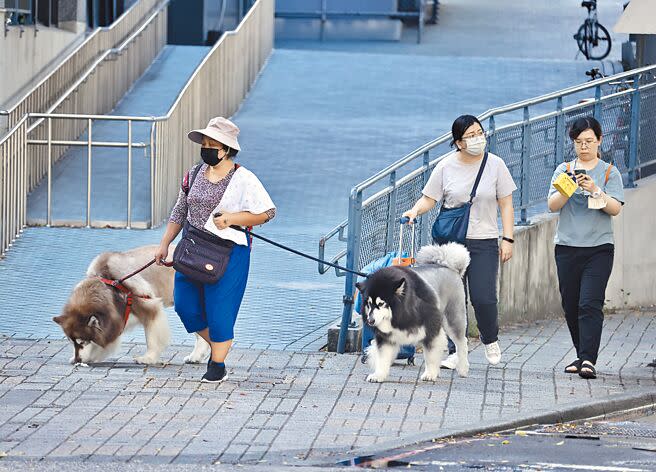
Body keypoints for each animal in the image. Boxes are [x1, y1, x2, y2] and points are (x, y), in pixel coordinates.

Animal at [56, 245, 211, 364]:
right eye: (71, 342)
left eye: (82, 342)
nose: (77, 361)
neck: (112, 288)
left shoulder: (150, 307)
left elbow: (151, 339)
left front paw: (148, 358)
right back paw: (196, 357)